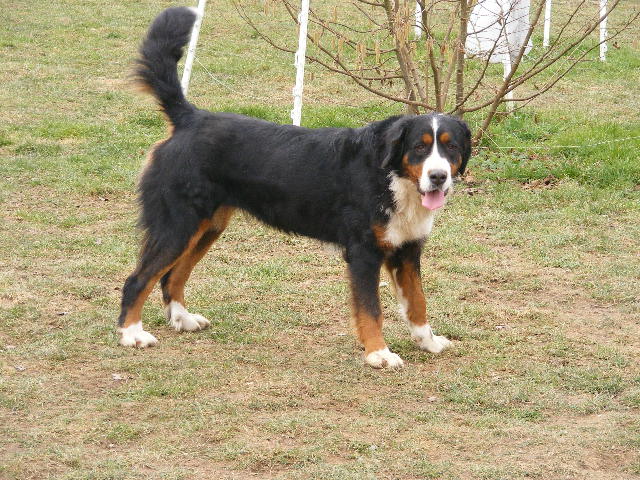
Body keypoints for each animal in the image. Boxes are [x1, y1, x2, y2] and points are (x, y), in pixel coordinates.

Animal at [117, 6, 472, 368]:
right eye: (419, 147)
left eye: (451, 147)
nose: (438, 176)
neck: (390, 177)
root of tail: (190, 117)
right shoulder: (364, 252)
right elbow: (371, 310)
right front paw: (379, 353)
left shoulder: (408, 250)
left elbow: (417, 302)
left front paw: (428, 341)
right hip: (177, 225)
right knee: (138, 279)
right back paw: (132, 334)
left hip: (207, 226)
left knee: (172, 276)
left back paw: (182, 319)